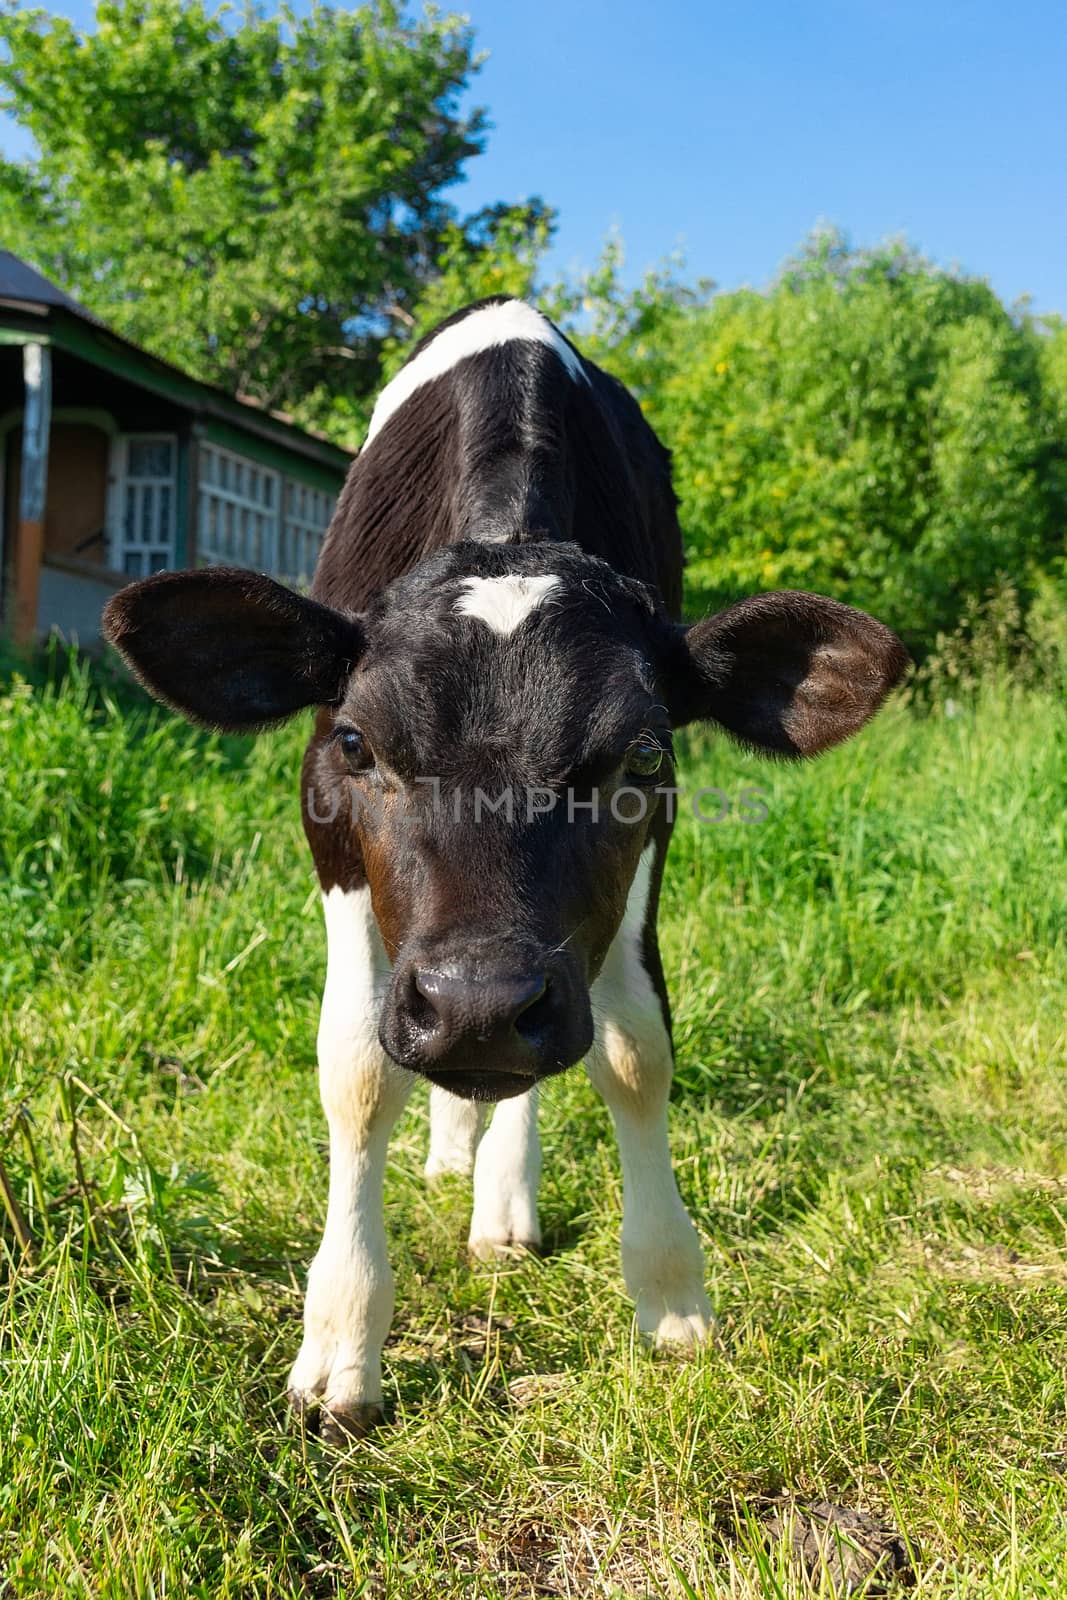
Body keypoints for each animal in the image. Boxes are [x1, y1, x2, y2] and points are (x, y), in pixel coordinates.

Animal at [102, 297, 908, 1440]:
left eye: (640, 754)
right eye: (355, 743)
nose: (478, 1006)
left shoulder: (642, 868)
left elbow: (632, 1055)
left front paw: (669, 1294)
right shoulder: (333, 849)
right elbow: (358, 1072)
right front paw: (340, 1341)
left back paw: (500, 1195)